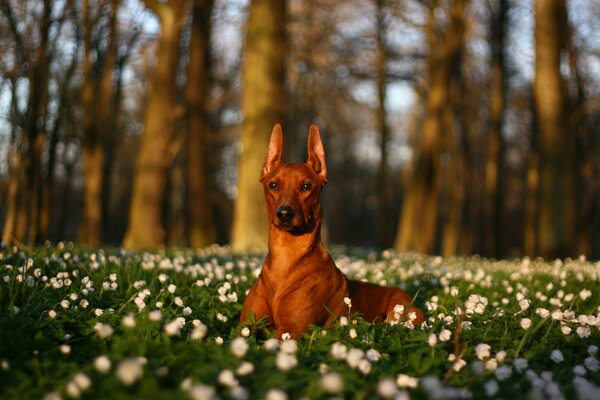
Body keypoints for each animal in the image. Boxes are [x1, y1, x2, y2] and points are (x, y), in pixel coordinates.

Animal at [237, 124, 424, 338]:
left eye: (306, 186)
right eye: (273, 185)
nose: (284, 213)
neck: (285, 256)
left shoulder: (290, 331)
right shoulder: (244, 327)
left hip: (399, 312)